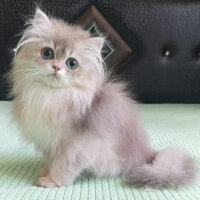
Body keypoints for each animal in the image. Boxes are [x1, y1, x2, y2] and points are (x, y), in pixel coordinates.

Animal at [8, 9, 196, 188]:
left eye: (72, 64)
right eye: (47, 53)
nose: (56, 67)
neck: (51, 96)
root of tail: (149, 155)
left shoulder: (78, 145)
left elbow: (64, 165)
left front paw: (52, 181)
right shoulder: (47, 141)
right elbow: (51, 159)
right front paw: (46, 171)